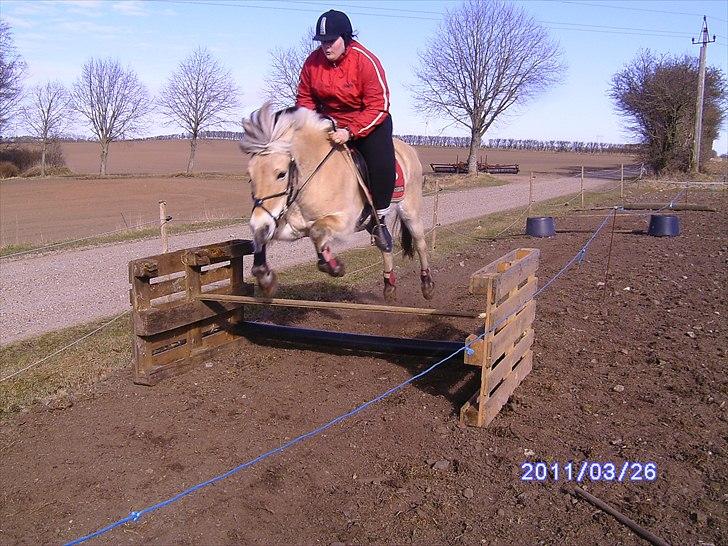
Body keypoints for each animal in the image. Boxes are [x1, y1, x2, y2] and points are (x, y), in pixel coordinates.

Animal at [239, 103, 436, 300]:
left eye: (281, 174)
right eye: (250, 176)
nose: (258, 223)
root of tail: (409, 149)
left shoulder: (345, 221)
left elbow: (316, 230)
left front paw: (334, 266)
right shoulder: (288, 226)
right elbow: (264, 238)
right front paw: (266, 279)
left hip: (410, 210)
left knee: (420, 243)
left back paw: (427, 284)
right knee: (385, 245)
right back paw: (389, 285)